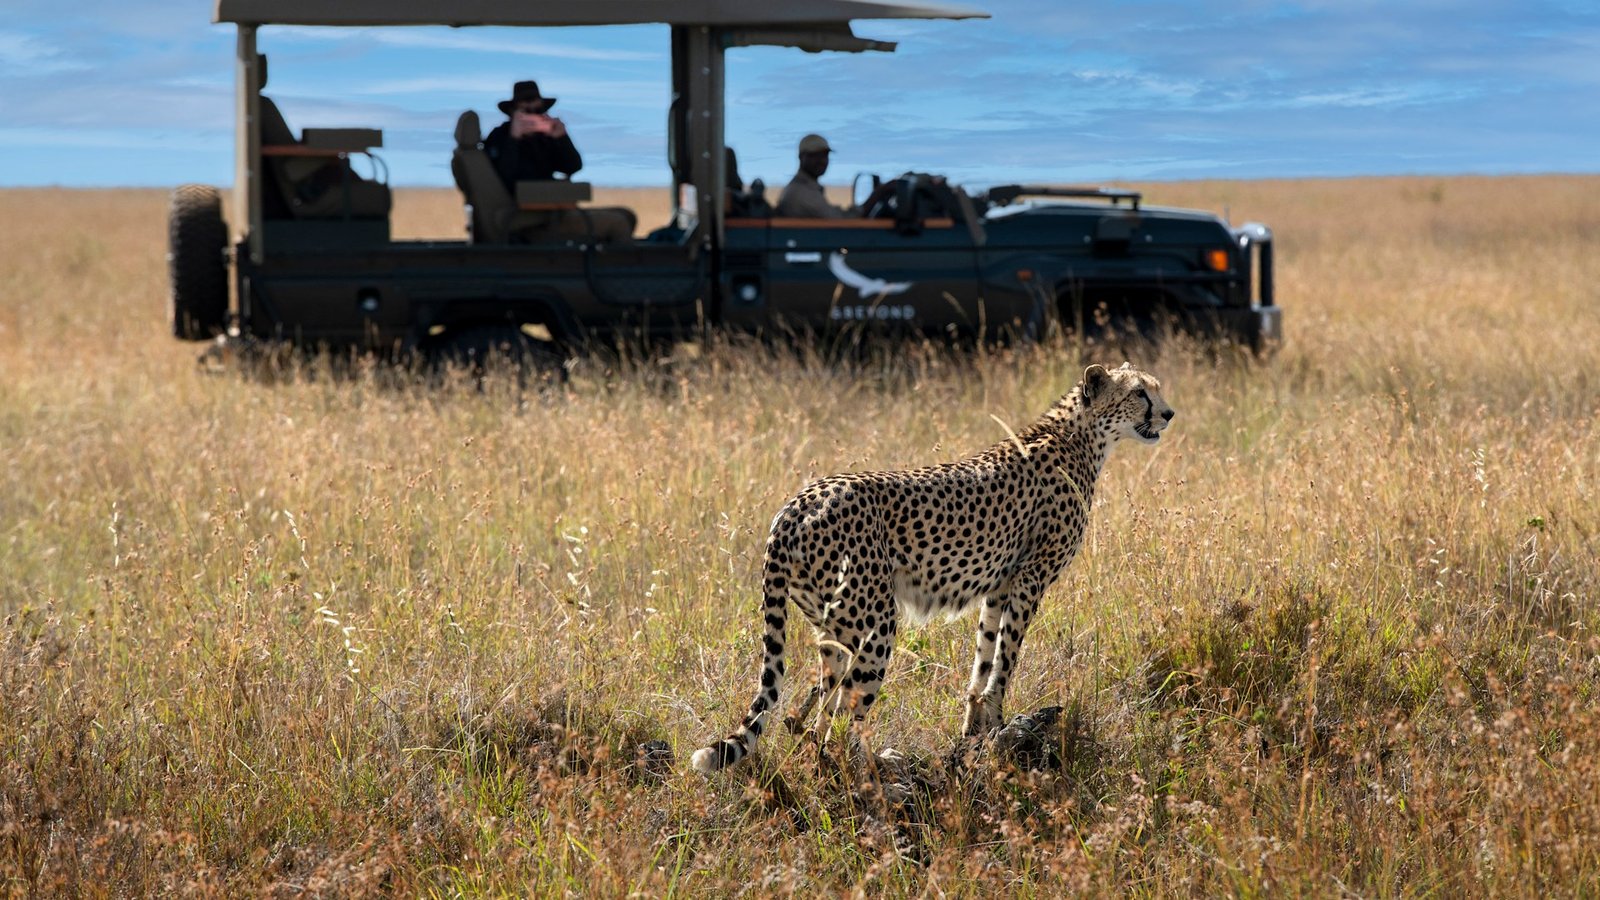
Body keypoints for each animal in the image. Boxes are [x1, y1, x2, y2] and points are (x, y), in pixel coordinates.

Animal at [691, 362, 1174, 773]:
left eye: (1155, 387)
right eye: (1139, 393)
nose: (1169, 413)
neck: (1082, 436)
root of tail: (795, 505)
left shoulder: (1000, 585)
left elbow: (985, 655)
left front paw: (976, 726)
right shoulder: (1030, 579)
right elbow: (1007, 656)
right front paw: (997, 723)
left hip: (831, 623)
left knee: (824, 701)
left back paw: (820, 750)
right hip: (873, 622)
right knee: (846, 712)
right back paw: (872, 767)